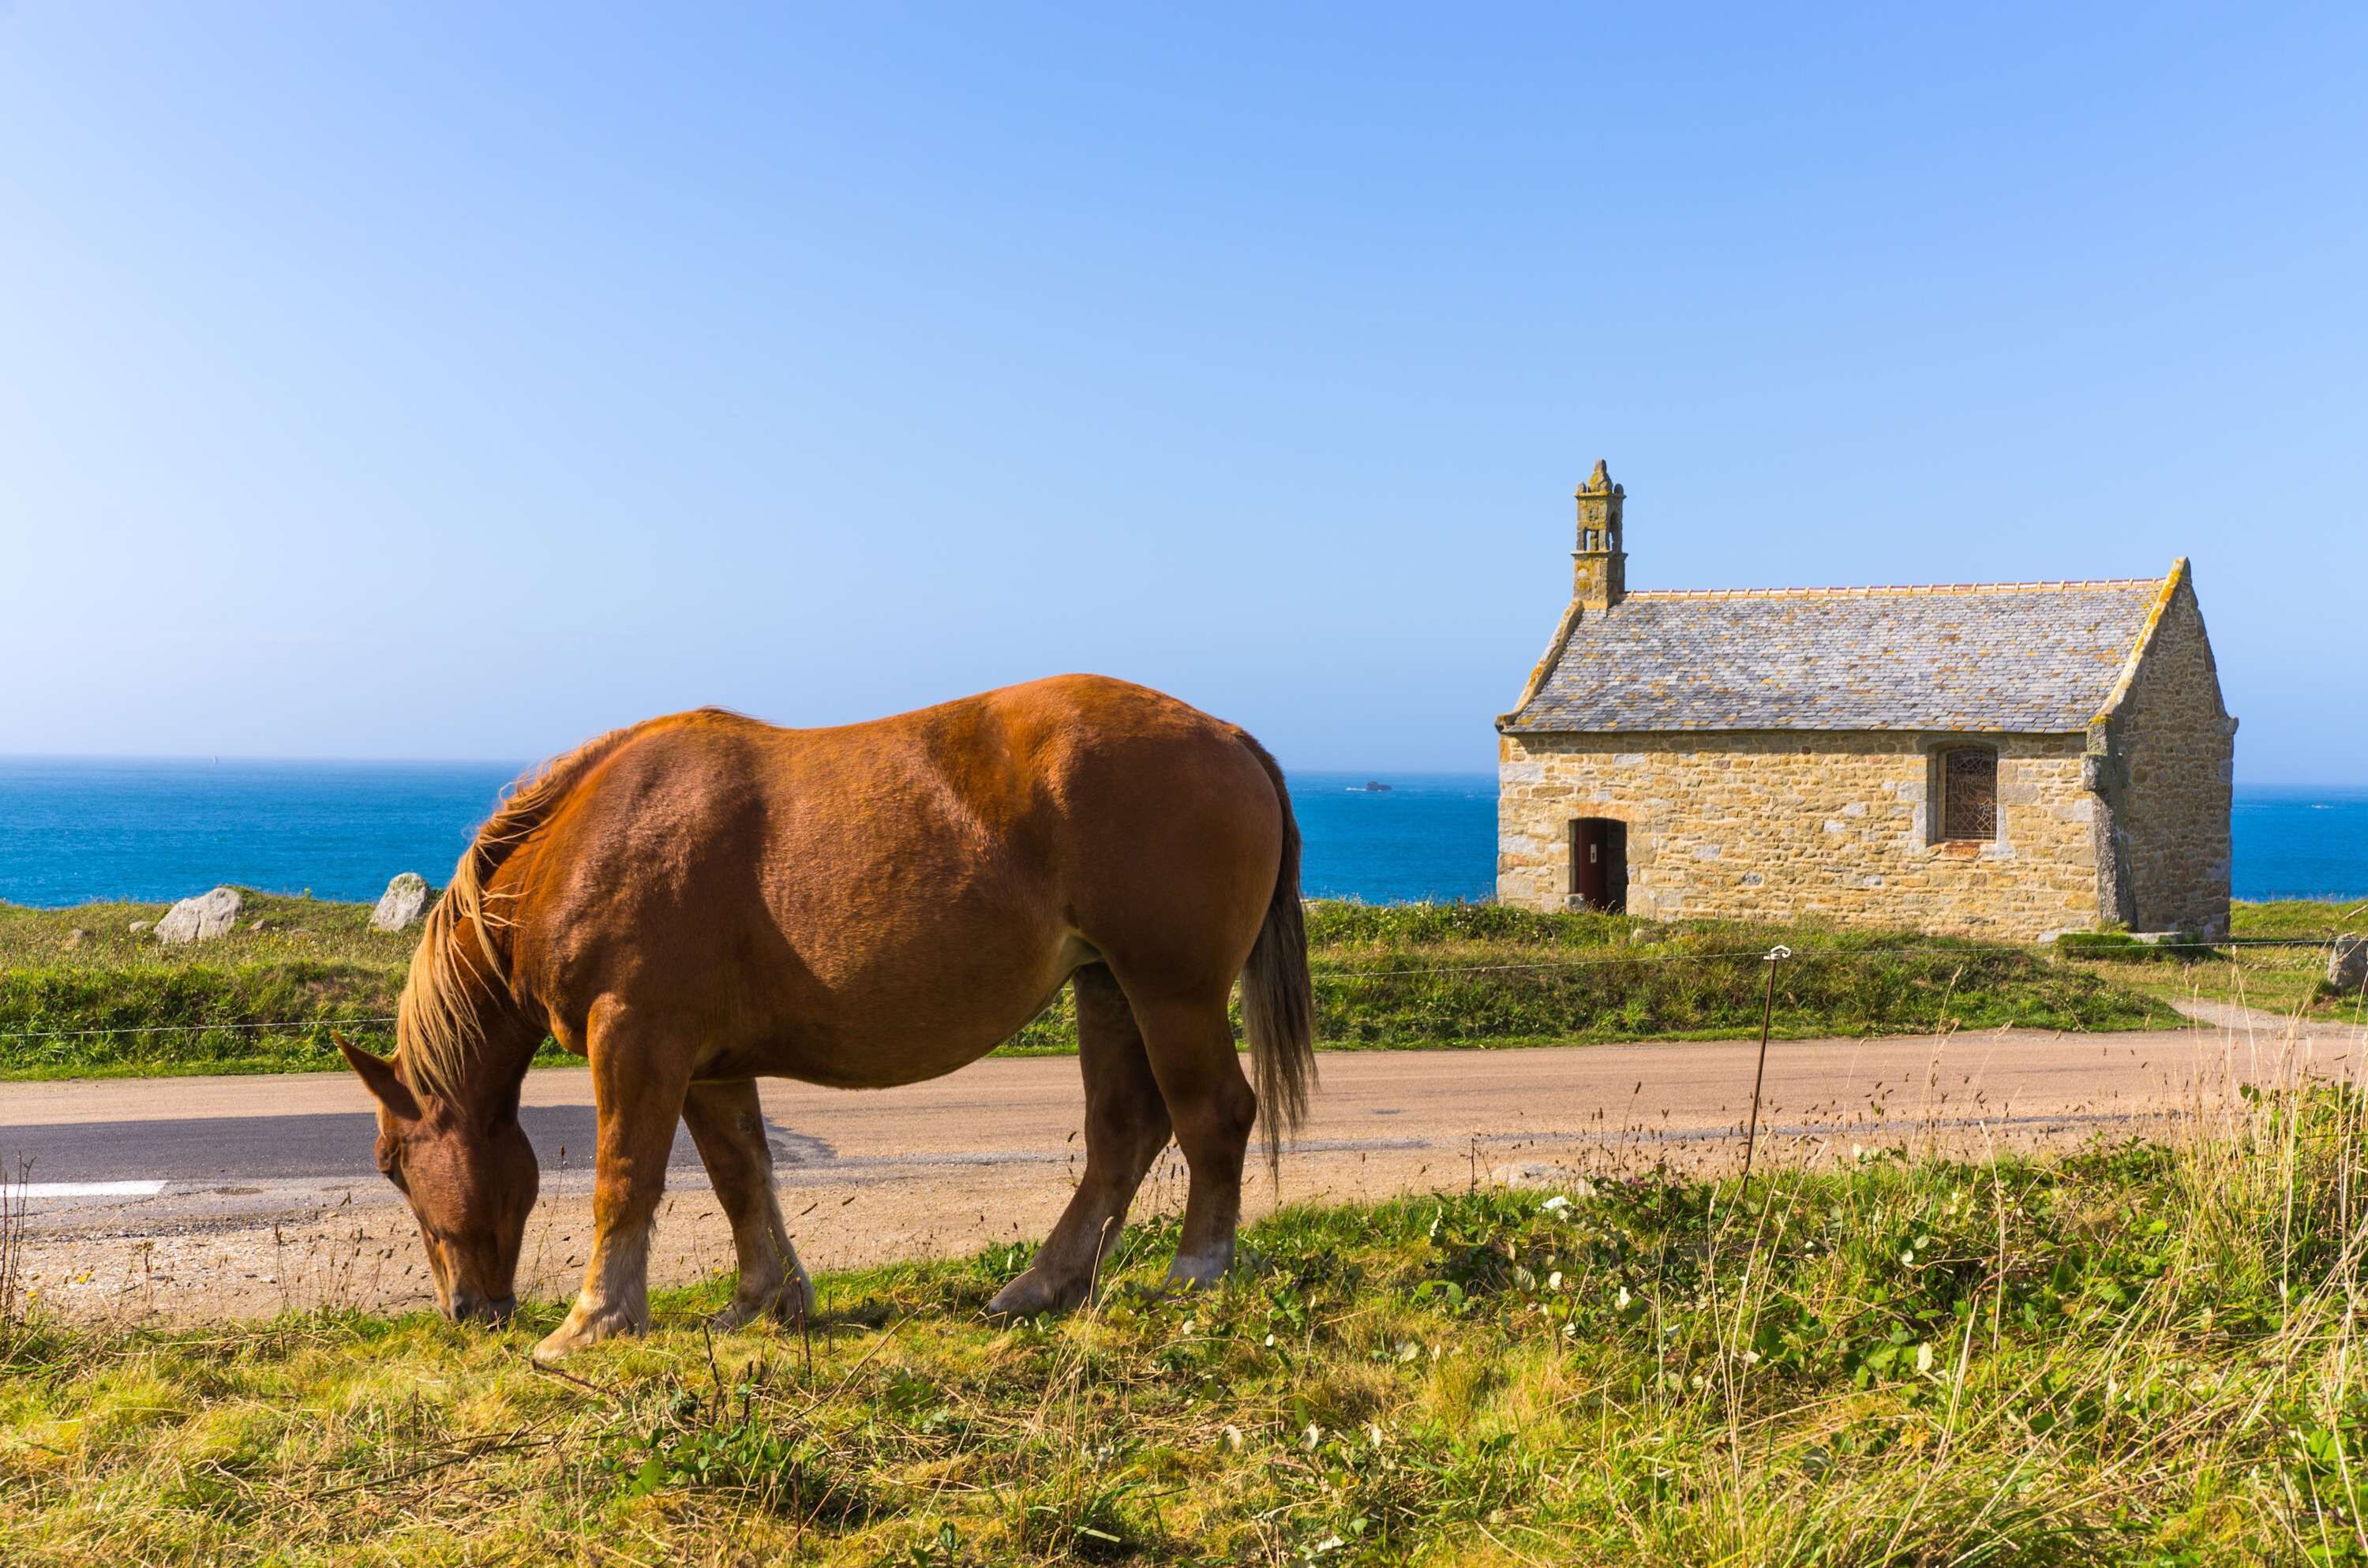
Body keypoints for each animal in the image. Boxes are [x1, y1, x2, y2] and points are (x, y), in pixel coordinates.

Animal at [336, 674, 1314, 1365]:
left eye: (391, 1164)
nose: (467, 1311)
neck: (579, 844)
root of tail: (1232, 739)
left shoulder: (638, 1037)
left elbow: (627, 1176)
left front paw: (594, 1321)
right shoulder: (710, 1063)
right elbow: (743, 1175)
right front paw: (763, 1299)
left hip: (1171, 990)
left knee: (1213, 1114)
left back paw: (1195, 1271)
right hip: (1107, 986)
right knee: (1125, 1129)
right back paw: (1043, 1285)